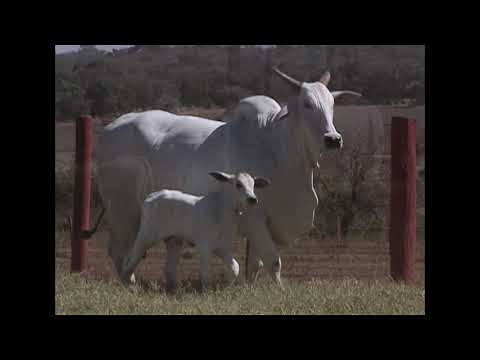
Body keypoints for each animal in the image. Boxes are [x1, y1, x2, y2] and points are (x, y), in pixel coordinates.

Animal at [119, 170, 270, 292]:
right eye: (238, 184)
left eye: (253, 185)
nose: (252, 199)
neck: (222, 210)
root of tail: (150, 197)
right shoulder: (205, 247)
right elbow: (205, 273)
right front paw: (206, 291)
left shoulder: (222, 248)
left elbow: (235, 267)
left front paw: (228, 287)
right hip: (146, 236)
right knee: (129, 260)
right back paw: (129, 286)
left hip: (174, 241)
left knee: (168, 268)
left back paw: (175, 288)